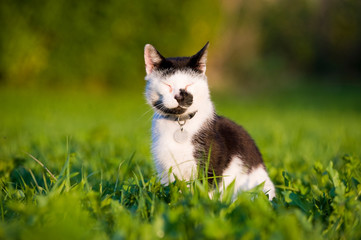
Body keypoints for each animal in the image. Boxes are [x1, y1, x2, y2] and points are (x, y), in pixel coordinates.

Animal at [142, 42, 274, 200]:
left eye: (189, 85)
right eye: (167, 85)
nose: (180, 97)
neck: (179, 123)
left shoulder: (212, 162)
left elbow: (206, 190)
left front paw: (206, 203)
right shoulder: (165, 169)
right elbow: (175, 191)